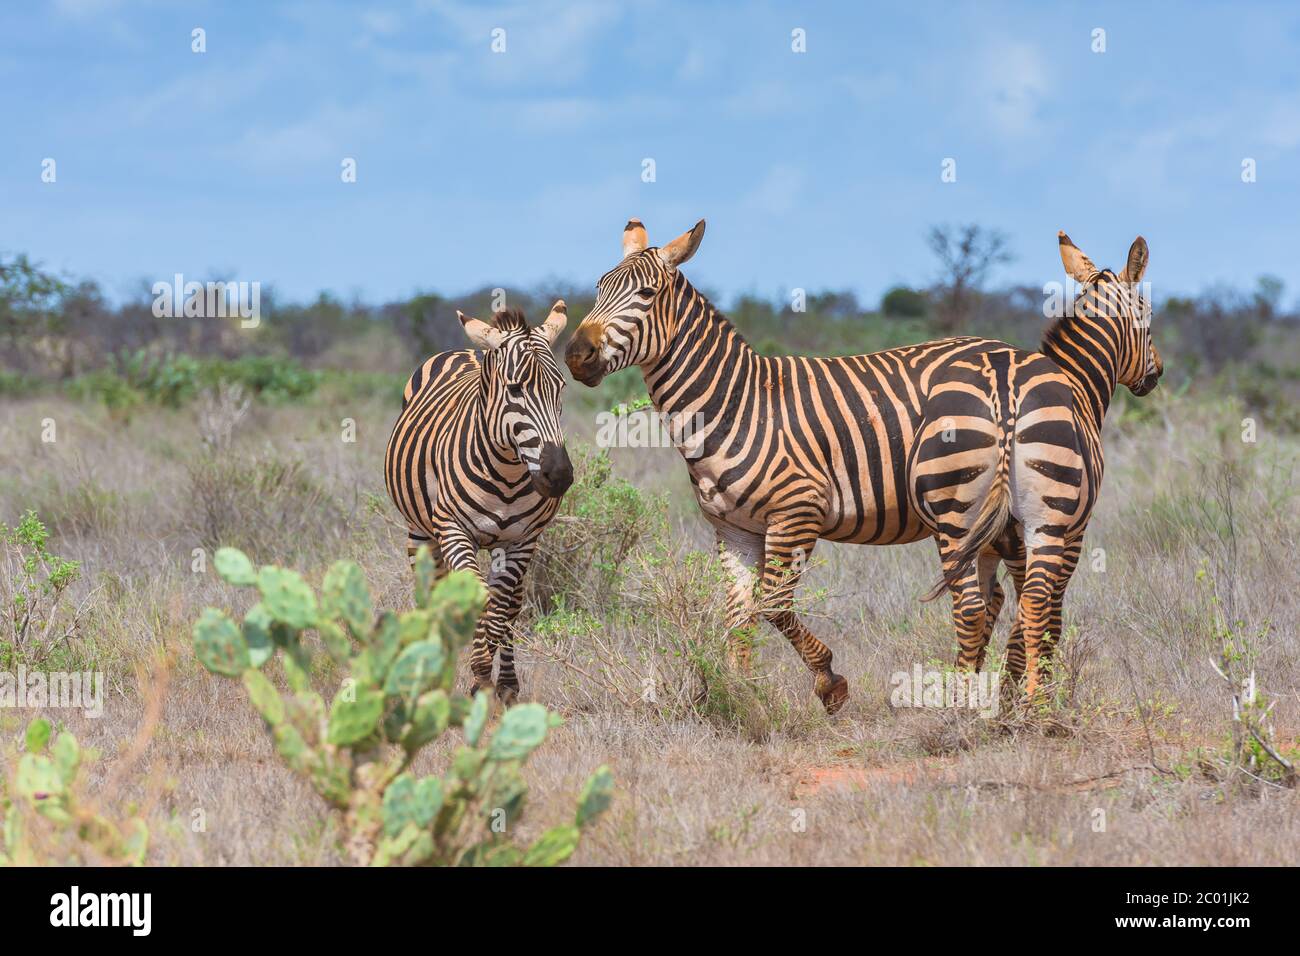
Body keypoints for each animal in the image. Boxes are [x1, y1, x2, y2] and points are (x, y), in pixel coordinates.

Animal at [385, 302, 574, 703]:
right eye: (515, 389)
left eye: (560, 388)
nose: (559, 475)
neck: (506, 472)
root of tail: (468, 350)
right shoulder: (454, 531)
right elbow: (475, 599)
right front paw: (477, 674)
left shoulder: (523, 540)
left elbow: (500, 609)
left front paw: (491, 680)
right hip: (420, 533)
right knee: (432, 593)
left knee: (512, 604)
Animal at [565, 218, 1033, 713]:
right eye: (597, 289)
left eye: (647, 294)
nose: (576, 354)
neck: (734, 405)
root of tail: (1008, 355)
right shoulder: (734, 528)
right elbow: (739, 614)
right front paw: (742, 697)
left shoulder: (797, 511)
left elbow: (772, 605)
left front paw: (829, 682)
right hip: (1000, 515)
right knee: (1016, 591)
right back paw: (1010, 688)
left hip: (959, 504)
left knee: (982, 602)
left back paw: (973, 701)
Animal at [917, 232, 1161, 697]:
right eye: (1149, 316)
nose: (1157, 373)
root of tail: (1004, 389)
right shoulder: (1074, 532)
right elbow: (1048, 613)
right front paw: (1026, 688)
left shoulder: (996, 541)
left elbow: (998, 607)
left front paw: (1001, 688)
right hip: (1049, 520)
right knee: (1033, 599)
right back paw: (1038, 704)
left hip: (954, 520)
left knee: (967, 605)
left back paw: (961, 700)